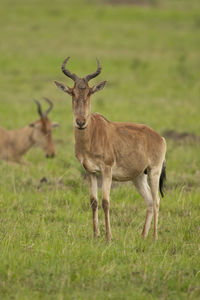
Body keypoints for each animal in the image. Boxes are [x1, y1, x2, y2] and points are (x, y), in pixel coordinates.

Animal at [54, 57, 166, 243]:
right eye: (72, 92)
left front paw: (108, 237)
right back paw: (143, 236)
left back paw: (154, 237)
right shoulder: (90, 171)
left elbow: (106, 201)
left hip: (154, 171)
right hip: (138, 177)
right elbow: (93, 201)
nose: (80, 122)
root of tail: (160, 137)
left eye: (90, 92)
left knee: (156, 200)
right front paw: (95, 235)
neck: (92, 133)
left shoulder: (107, 169)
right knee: (149, 201)